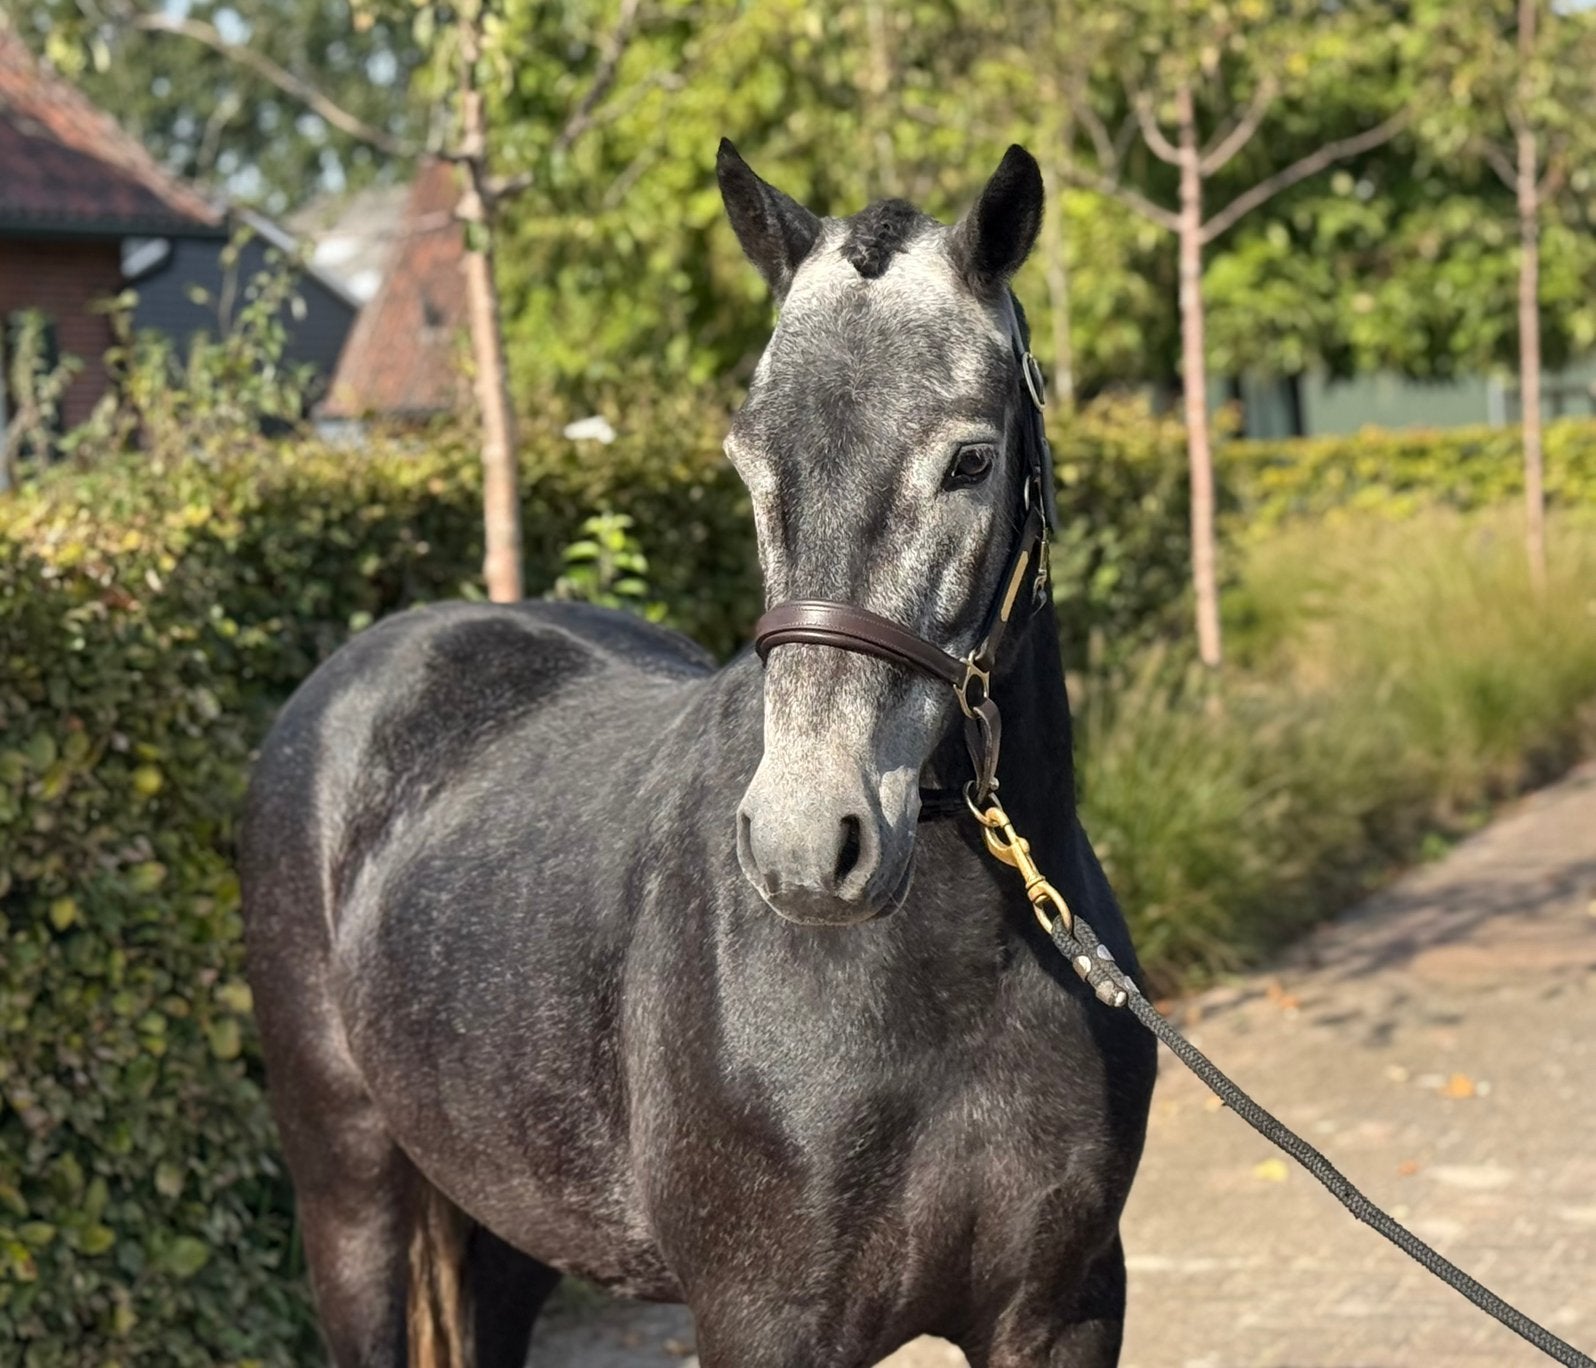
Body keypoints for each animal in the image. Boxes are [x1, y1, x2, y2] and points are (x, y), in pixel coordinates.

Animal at [240, 140, 1157, 1368]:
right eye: (745, 458)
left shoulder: (1065, 1314)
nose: (808, 844)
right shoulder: (763, 1325)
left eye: (969, 461)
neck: (963, 976)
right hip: (350, 1205)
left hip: (509, 1231)